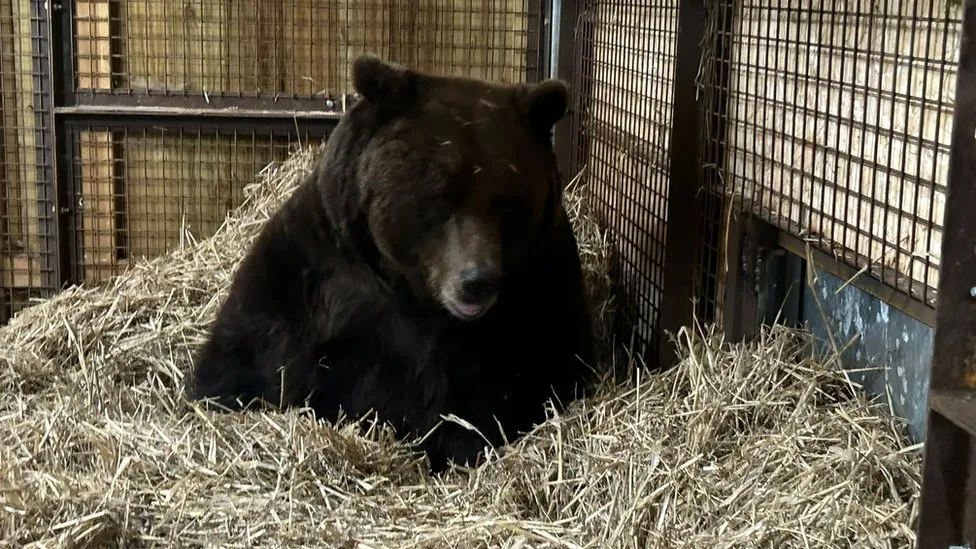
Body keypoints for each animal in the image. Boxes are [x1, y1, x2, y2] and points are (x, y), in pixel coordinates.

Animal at [182, 53, 596, 468]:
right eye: (442, 196)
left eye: (507, 202)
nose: (476, 282)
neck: (413, 294)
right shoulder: (311, 270)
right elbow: (244, 359)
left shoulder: (540, 292)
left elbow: (515, 386)